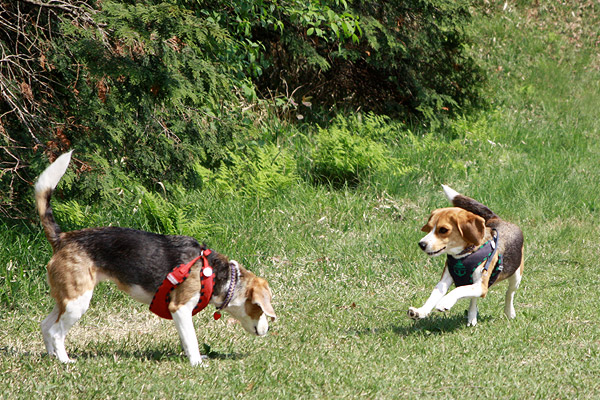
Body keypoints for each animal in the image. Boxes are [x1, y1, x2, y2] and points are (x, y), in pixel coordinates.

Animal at [38, 152, 278, 366]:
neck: (218, 274)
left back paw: (51, 357)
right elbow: (192, 340)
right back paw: (65, 361)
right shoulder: (180, 308)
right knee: (56, 331)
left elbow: (186, 339)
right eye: (260, 309)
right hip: (77, 302)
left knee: (45, 325)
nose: (267, 330)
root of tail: (63, 238)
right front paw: (197, 363)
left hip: (66, 300)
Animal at [410, 186, 524, 326]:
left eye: (443, 230)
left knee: (510, 293)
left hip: (516, 275)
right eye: (430, 227)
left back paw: (509, 312)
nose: (421, 244)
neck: (464, 255)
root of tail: (498, 219)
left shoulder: (481, 286)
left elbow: (458, 290)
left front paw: (445, 302)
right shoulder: (444, 280)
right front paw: (421, 311)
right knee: (473, 298)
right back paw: (472, 315)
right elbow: (434, 295)